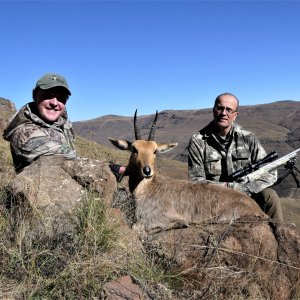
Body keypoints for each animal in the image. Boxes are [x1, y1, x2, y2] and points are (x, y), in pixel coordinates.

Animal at [109, 110, 268, 234]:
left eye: (154, 151)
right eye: (134, 149)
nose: (147, 171)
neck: (147, 189)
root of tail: (259, 211)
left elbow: (138, 227)